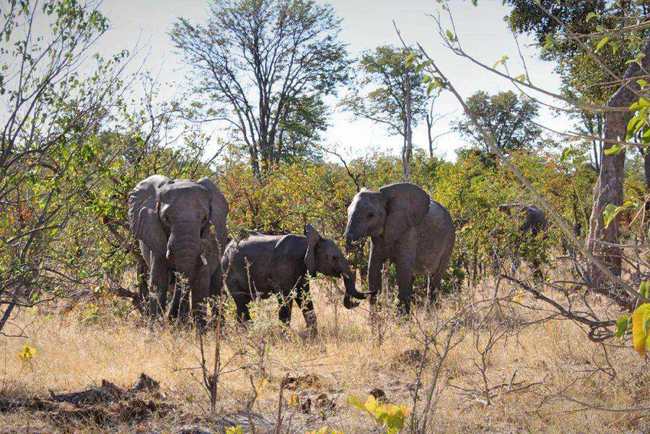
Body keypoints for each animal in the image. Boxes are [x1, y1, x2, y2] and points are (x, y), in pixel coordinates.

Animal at [127, 174, 228, 326]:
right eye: (166, 218)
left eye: (205, 218)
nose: (171, 319)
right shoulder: (156, 238)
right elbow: (159, 282)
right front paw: (155, 327)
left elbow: (201, 283)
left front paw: (200, 330)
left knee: (216, 288)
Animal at [220, 224, 370, 336]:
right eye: (334, 258)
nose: (356, 303)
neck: (307, 242)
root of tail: (227, 247)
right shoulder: (284, 267)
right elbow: (285, 300)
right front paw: (286, 337)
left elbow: (304, 298)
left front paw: (313, 336)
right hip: (230, 272)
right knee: (242, 303)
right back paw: (248, 333)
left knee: (242, 305)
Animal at [344, 181, 450, 314]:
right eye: (347, 211)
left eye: (370, 215)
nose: (354, 303)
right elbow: (373, 269)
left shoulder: (409, 232)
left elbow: (402, 271)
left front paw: (402, 318)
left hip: (449, 241)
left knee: (435, 279)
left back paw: (431, 314)